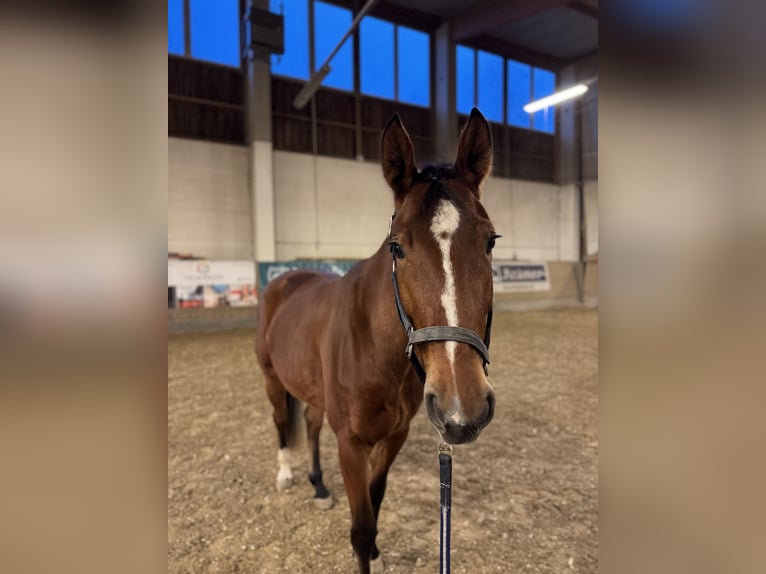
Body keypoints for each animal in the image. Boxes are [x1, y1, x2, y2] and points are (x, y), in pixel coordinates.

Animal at [255, 109, 500, 574]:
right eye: (397, 248)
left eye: (490, 241)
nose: (462, 409)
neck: (374, 346)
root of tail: (284, 279)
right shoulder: (351, 444)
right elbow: (361, 527)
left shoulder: (393, 437)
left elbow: (376, 498)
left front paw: (376, 554)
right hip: (273, 380)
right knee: (281, 422)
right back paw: (284, 476)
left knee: (310, 424)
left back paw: (319, 486)